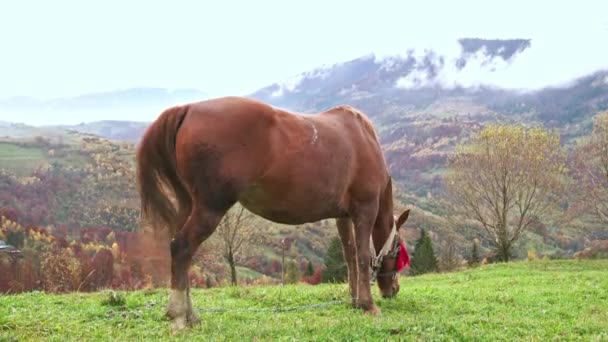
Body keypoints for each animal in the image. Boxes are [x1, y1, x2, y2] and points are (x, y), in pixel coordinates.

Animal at [136, 95, 410, 332]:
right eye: (398, 249)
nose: (393, 289)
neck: (363, 137)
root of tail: (188, 108)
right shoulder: (365, 208)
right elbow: (363, 256)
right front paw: (367, 304)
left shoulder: (343, 216)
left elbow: (350, 255)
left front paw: (354, 300)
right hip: (210, 208)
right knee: (181, 248)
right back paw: (178, 316)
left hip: (189, 205)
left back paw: (191, 315)